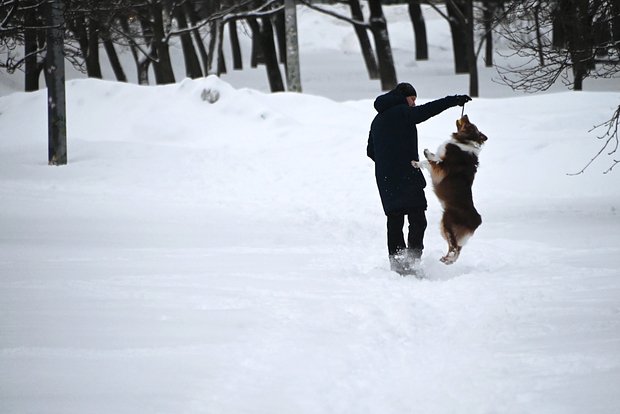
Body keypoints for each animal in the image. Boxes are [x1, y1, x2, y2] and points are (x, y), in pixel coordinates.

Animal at [414, 115, 486, 266]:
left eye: (469, 124)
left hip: (446, 222)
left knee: (454, 247)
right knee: (457, 248)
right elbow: (433, 156)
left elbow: (428, 162)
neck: (465, 141)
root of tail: (477, 220)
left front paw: (416, 163)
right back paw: (447, 261)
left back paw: (447, 259)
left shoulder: (441, 169)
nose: (465, 115)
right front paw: (427, 152)